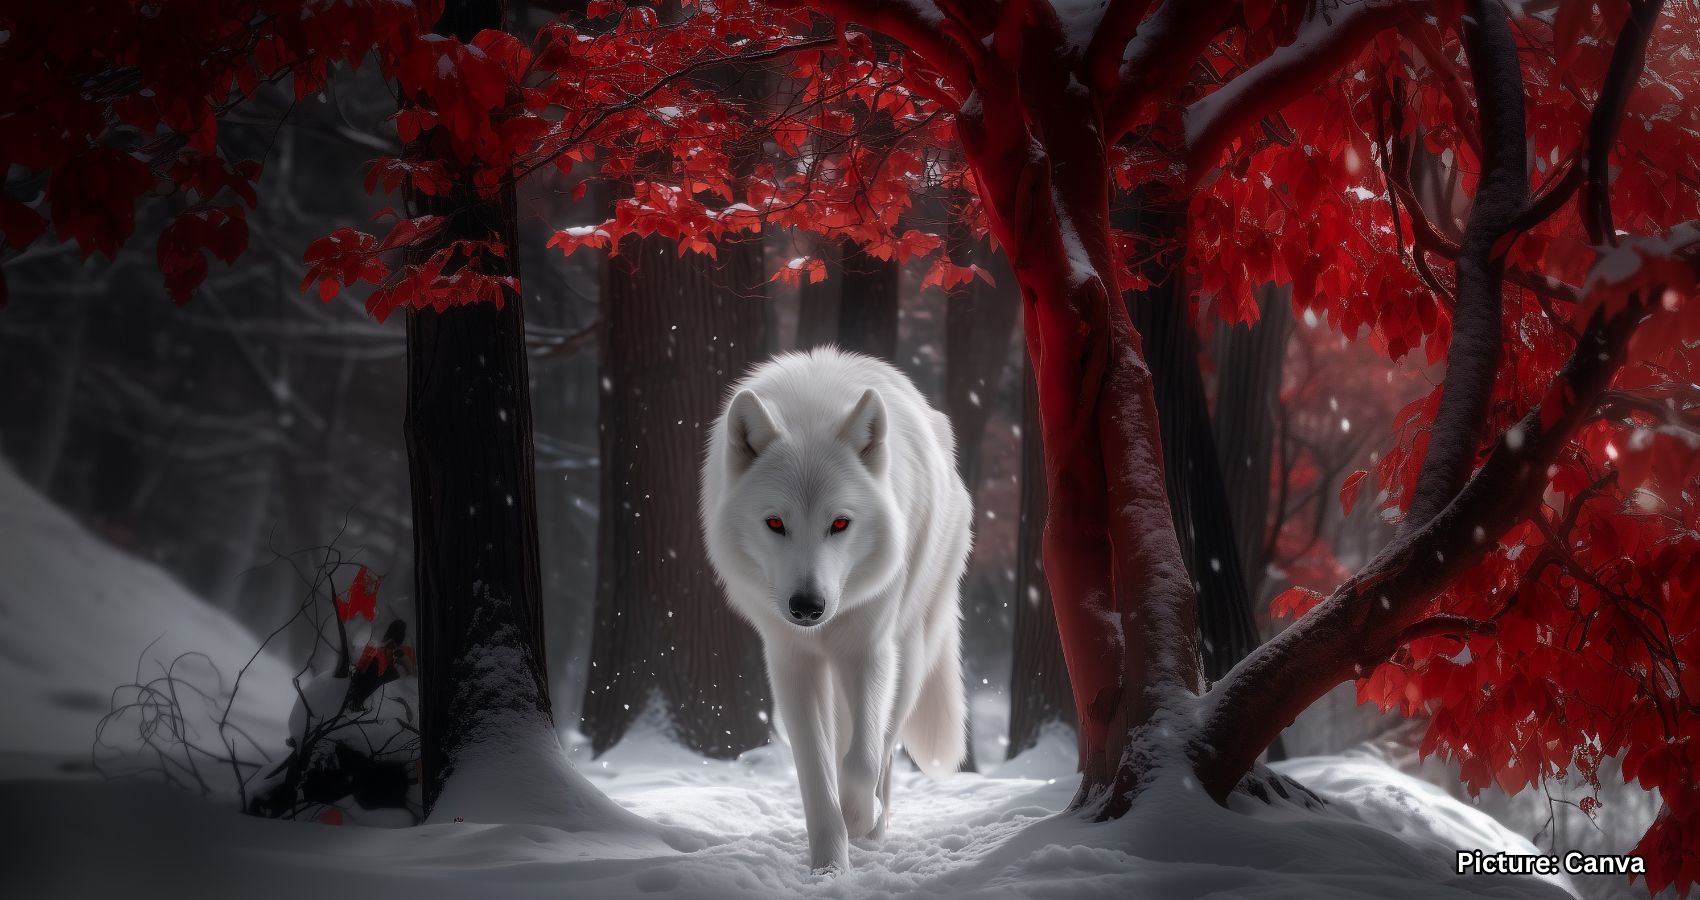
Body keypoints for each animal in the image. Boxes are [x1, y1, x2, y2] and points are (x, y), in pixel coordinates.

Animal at [700, 347, 971, 872]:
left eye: (840, 523)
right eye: (776, 523)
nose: (807, 607)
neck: (811, 410)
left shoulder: (868, 652)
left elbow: (862, 760)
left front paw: (859, 819)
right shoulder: (792, 662)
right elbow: (815, 773)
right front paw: (829, 867)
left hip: (908, 655)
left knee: (883, 749)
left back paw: (874, 831)